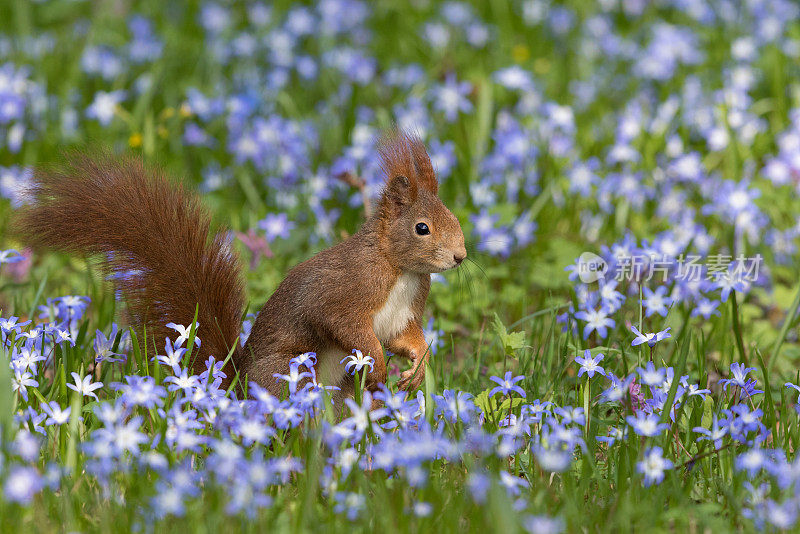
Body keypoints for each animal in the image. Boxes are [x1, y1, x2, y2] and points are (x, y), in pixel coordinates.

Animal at [12, 132, 466, 404]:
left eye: (454, 216)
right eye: (422, 228)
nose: (460, 256)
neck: (399, 268)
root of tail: (238, 389)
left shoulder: (405, 312)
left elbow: (408, 338)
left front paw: (417, 368)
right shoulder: (348, 290)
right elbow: (345, 325)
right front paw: (381, 365)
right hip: (291, 374)